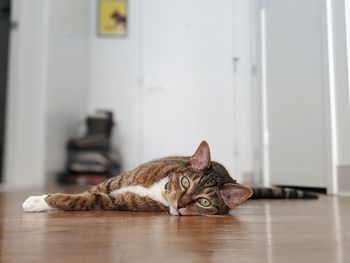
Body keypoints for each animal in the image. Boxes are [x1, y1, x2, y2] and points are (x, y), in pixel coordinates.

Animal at [21, 141, 318, 216]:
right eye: (186, 183)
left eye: (204, 202)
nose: (181, 204)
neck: (161, 189)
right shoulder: (114, 181)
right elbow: (91, 190)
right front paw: (39, 198)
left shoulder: (115, 200)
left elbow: (82, 200)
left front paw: (40, 202)